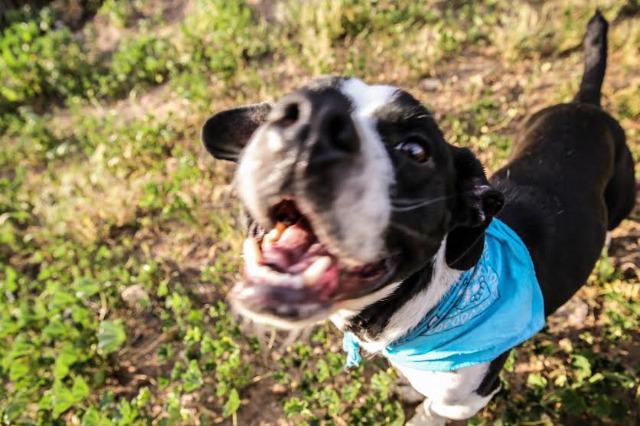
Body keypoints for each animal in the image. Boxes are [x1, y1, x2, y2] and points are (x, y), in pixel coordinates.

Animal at [200, 11, 636, 424]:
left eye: (415, 150)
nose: (314, 121)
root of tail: (587, 103)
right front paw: (410, 388)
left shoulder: (467, 399)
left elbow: (430, 412)